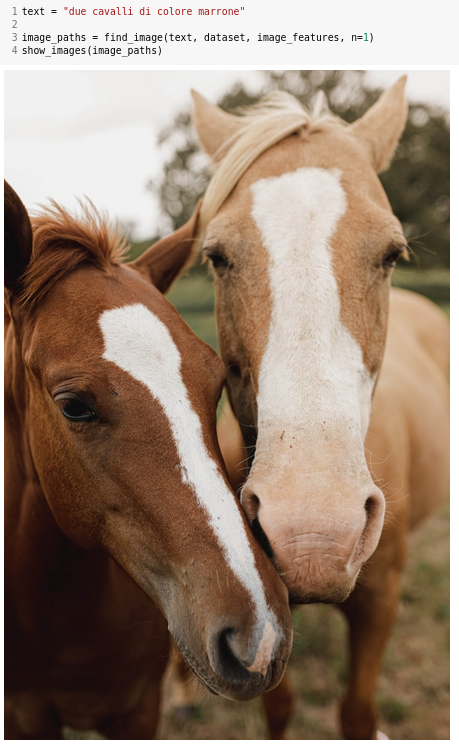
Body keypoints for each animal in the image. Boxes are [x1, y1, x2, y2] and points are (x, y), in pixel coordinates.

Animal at [190, 77, 450, 740]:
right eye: (217, 257)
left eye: (391, 254)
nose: (314, 537)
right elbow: (278, 708)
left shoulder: (380, 603)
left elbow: (356, 712)